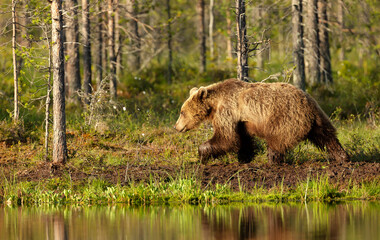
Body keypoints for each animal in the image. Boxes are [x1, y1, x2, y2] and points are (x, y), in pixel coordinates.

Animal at [175, 78, 350, 164]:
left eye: (182, 112)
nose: (176, 126)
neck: (214, 104)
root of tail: (308, 104)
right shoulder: (241, 120)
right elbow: (242, 139)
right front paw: (244, 158)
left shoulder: (227, 111)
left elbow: (226, 138)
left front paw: (202, 155)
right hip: (319, 118)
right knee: (327, 136)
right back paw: (342, 157)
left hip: (284, 118)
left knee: (277, 139)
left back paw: (272, 159)